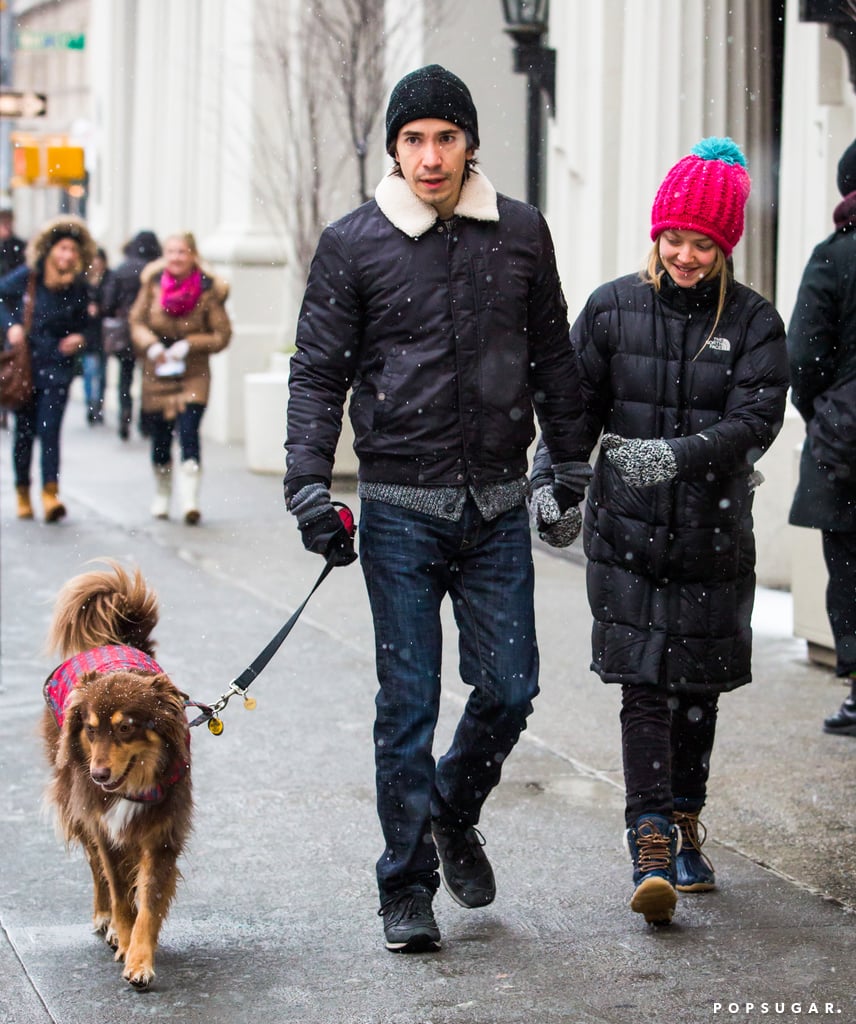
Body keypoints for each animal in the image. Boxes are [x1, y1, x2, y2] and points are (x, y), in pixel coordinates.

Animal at [41, 565, 192, 987]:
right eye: (91, 730)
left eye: (126, 728)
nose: (98, 773)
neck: (132, 788)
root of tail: (115, 641)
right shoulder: (105, 829)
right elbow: (121, 892)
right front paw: (123, 939)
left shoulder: (162, 835)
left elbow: (148, 903)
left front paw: (140, 960)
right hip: (77, 808)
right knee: (97, 871)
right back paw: (103, 917)